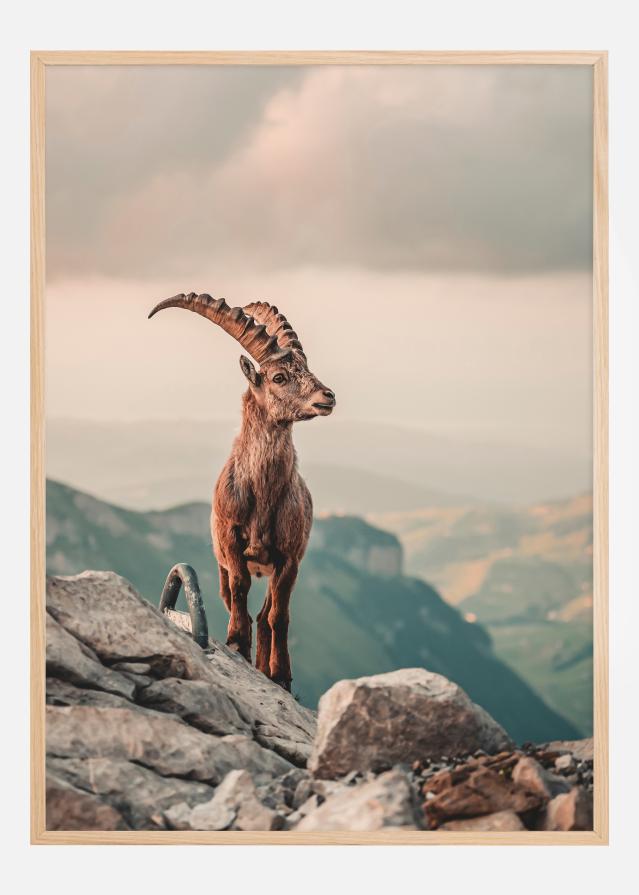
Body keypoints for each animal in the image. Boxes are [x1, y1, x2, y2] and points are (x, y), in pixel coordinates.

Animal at [149, 293, 335, 690]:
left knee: (267, 615)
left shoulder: (289, 558)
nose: (327, 397)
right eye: (279, 376)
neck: (262, 495)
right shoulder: (231, 543)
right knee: (243, 603)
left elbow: (279, 616)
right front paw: (236, 642)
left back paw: (268, 667)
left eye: (306, 369)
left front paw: (281, 674)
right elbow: (239, 592)